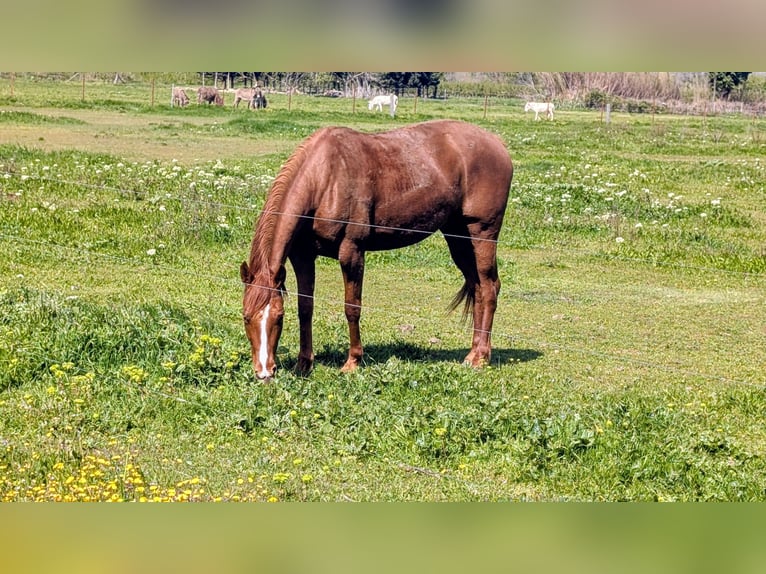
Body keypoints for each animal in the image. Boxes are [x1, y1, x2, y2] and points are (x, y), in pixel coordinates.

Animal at [240, 119, 513, 380]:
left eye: (278, 317)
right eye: (245, 316)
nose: (264, 372)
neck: (325, 178)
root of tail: (498, 144)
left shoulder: (351, 252)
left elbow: (352, 307)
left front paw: (353, 362)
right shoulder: (303, 256)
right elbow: (305, 308)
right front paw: (303, 364)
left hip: (482, 233)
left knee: (489, 288)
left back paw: (481, 357)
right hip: (458, 237)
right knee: (477, 287)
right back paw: (473, 352)